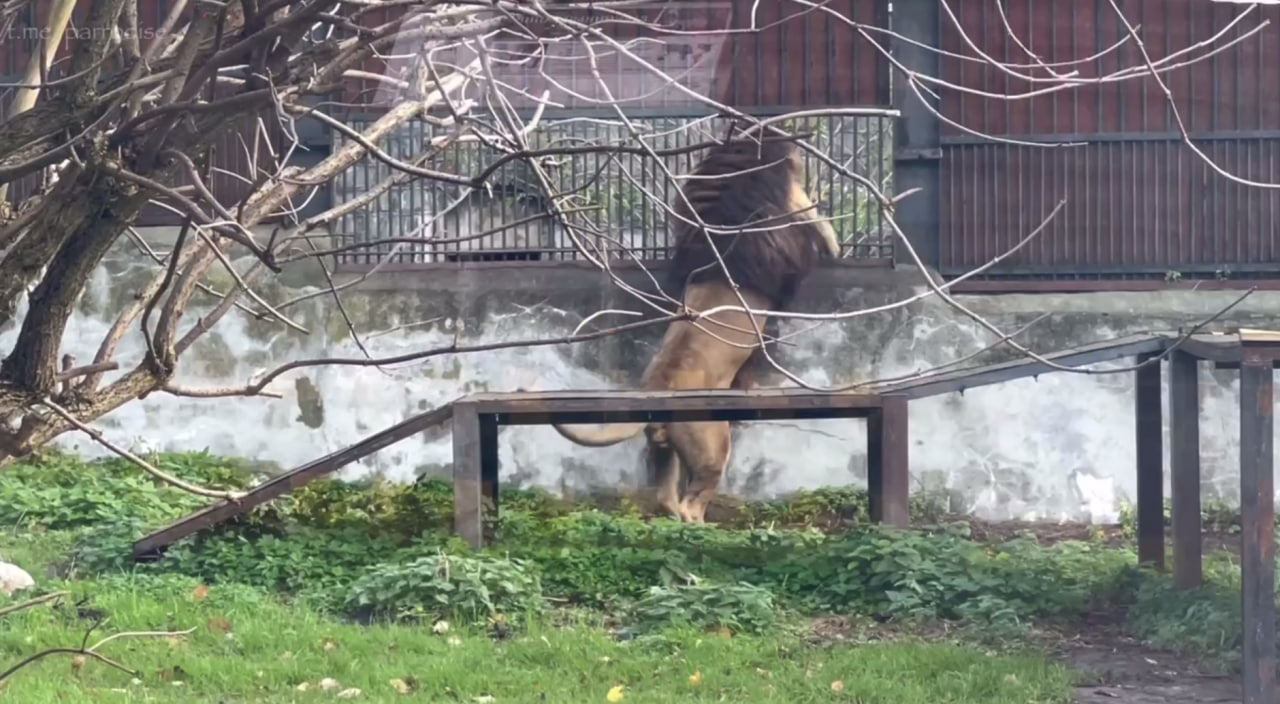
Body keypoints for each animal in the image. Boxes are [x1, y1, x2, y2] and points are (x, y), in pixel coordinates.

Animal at [547, 125, 839, 524]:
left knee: (665, 498)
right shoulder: (792, 210)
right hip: (712, 444)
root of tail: (655, 390)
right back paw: (709, 528)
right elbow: (820, 223)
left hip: (663, 449)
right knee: (691, 502)